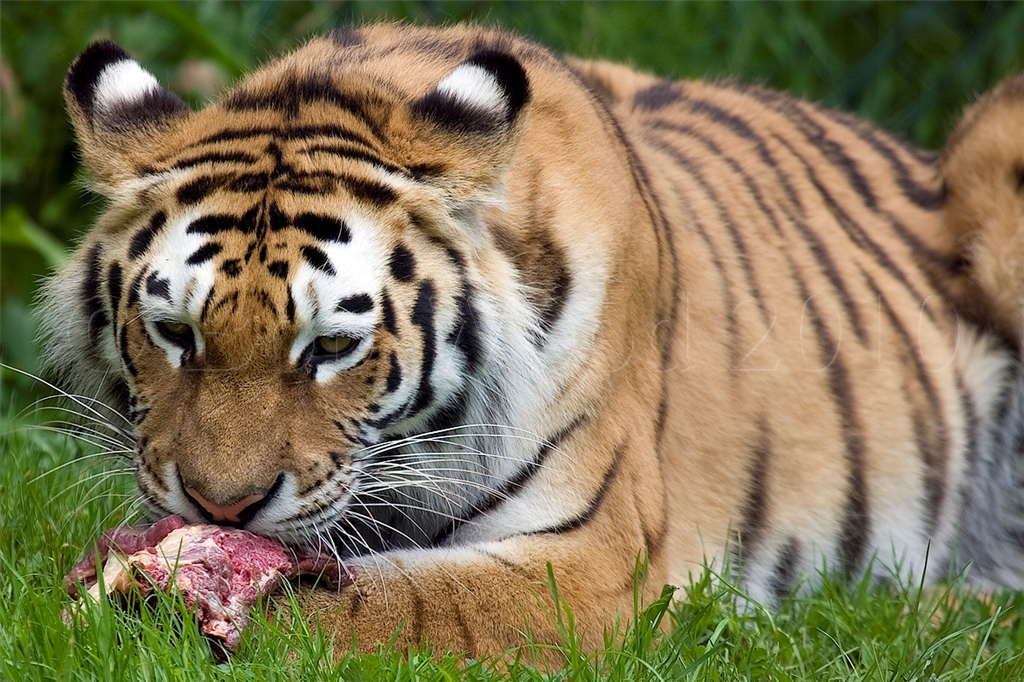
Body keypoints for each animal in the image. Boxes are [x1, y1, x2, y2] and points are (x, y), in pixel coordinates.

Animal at [38, 22, 1024, 657]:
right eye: (175, 333)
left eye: (330, 348)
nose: (221, 509)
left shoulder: (591, 559)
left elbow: (402, 607)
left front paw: (165, 613)